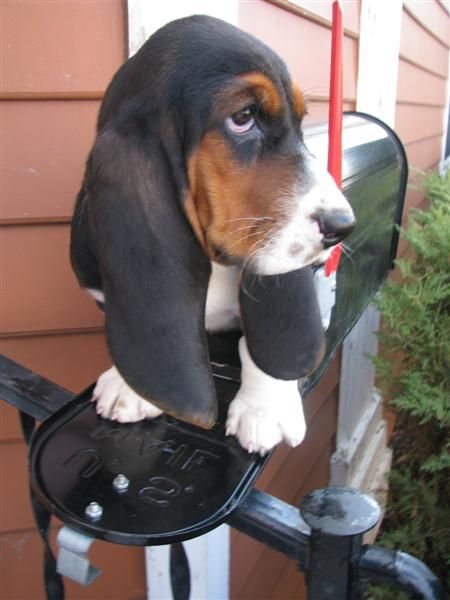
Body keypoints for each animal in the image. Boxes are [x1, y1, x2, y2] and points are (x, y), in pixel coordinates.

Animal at [71, 14, 356, 454]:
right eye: (243, 117)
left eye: (300, 121)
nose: (343, 225)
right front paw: (128, 387)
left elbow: (254, 342)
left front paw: (265, 408)